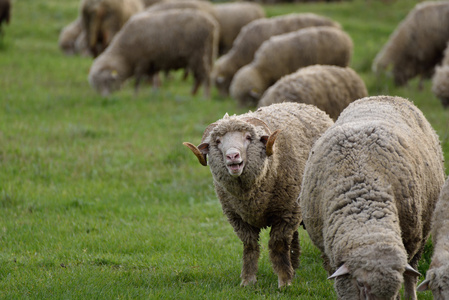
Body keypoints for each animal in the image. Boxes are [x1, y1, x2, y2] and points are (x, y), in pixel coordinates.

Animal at [88, 8, 219, 97]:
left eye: (108, 81)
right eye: (96, 85)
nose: (105, 98)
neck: (124, 54)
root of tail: (211, 24)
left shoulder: (142, 61)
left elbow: (138, 80)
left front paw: (135, 95)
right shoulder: (152, 61)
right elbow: (153, 78)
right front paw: (154, 93)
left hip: (199, 54)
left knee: (205, 76)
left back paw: (205, 97)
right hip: (205, 54)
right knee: (199, 77)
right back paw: (193, 94)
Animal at [182, 102, 332, 288]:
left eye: (248, 137)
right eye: (217, 141)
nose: (232, 156)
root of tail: (306, 105)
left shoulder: (286, 212)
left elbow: (278, 244)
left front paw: (284, 281)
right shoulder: (238, 217)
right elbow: (250, 246)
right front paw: (248, 280)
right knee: (294, 238)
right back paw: (295, 266)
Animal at [298, 96, 444, 300]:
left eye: (393, 291)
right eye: (360, 284)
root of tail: (387, 97)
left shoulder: (411, 239)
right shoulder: (325, 249)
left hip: (422, 232)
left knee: (412, 274)